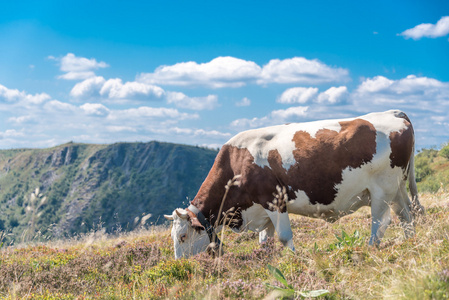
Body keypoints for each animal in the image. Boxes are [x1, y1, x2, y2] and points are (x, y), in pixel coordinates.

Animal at [163, 109, 422, 258]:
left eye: (183, 236)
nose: (181, 264)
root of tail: (393, 112)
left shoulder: (273, 199)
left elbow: (284, 237)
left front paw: (295, 261)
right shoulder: (262, 212)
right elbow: (265, 241)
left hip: (382, 189)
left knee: (380, 223)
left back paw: (368, 249)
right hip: (396, 189)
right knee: (406, 215)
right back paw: (410, 243)